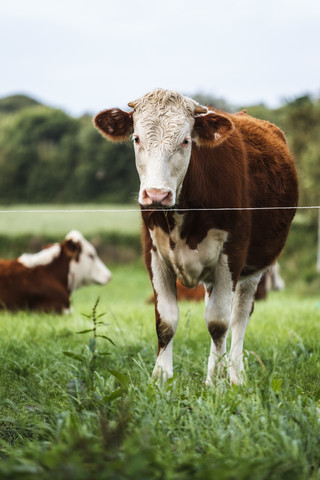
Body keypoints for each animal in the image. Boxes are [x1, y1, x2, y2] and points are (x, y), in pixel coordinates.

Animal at [94, 88, 298, 384]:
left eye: (186, 140)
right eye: (137, 138)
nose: (156, 194)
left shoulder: (231, 256)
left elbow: (218, 322)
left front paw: (215, 381)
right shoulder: (154, 256)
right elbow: (166, 320)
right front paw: (161, 379)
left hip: (255, 269)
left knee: (239, 317)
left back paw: (234, 375)